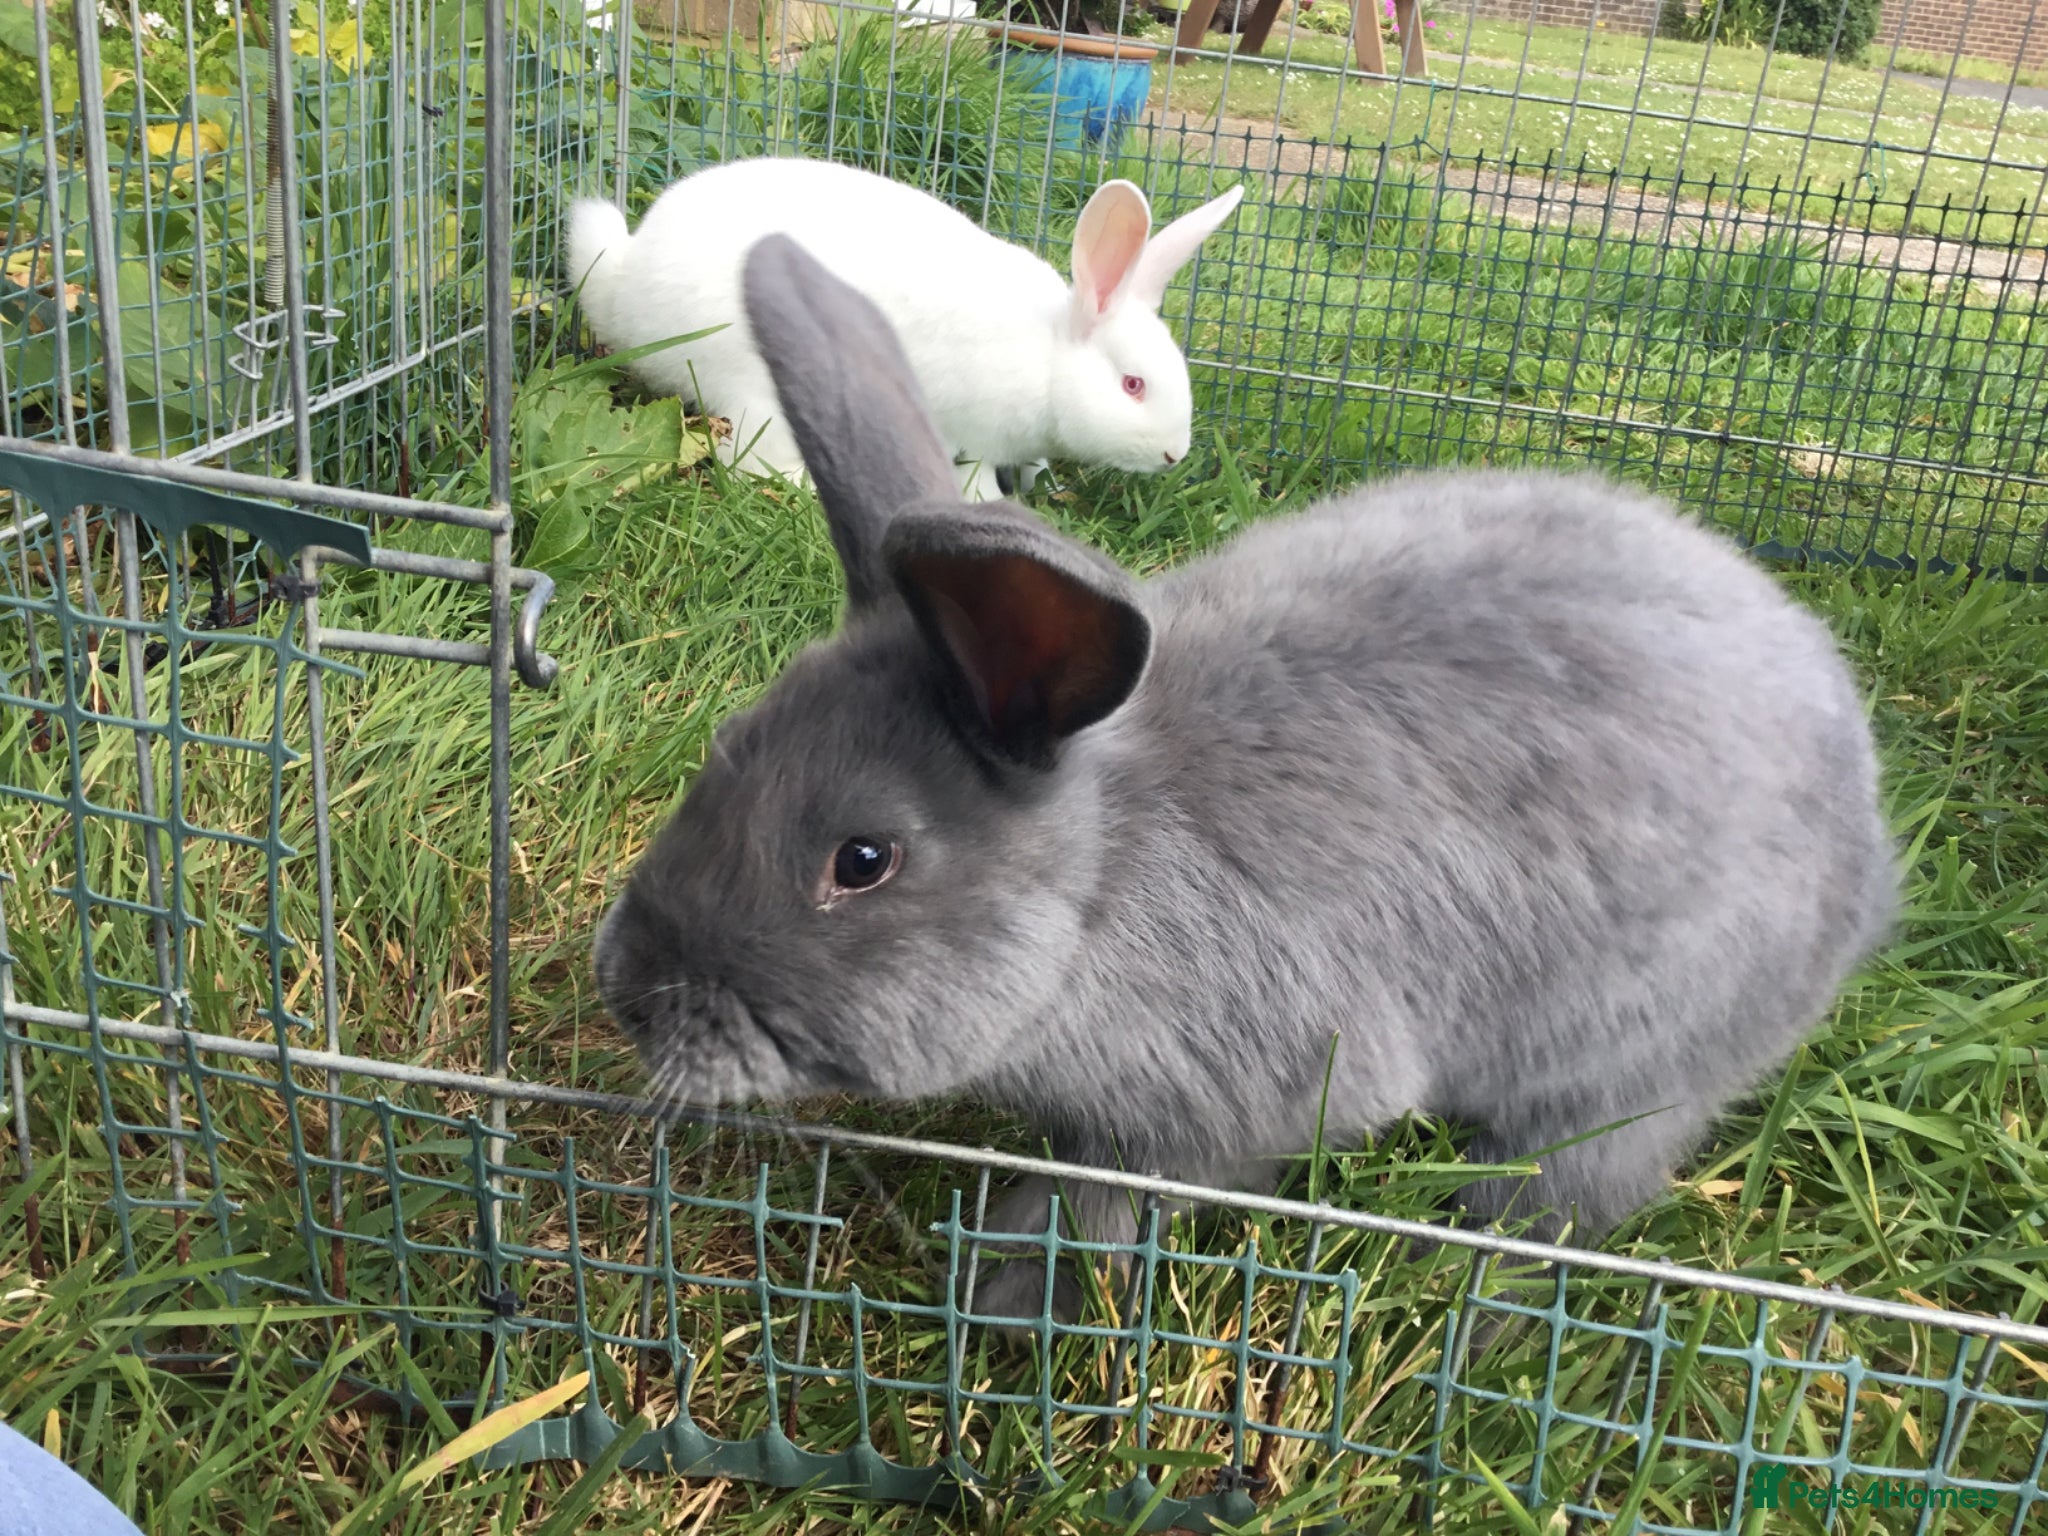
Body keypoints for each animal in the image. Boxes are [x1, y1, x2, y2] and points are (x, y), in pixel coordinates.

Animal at [565, 157, 1243, 502]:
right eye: (1133, 385)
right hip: (755, 387)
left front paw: (1042, 482)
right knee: (747, 461)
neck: (1050, 358)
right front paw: (993, 502)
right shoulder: (975, 430)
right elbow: (976, 475)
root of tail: (627, 284)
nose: (1174, 454)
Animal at [591, 234, 1898, 1326]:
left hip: (1632, 1063)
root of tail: (1863, 838)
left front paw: (1007, 1288)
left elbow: (1117, 1194)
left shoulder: (1231, 1102)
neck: (1102, 884)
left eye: (861, 861)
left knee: (1577, 1179)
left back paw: (1470, 1275)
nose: (627, 992)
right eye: (727, 744)